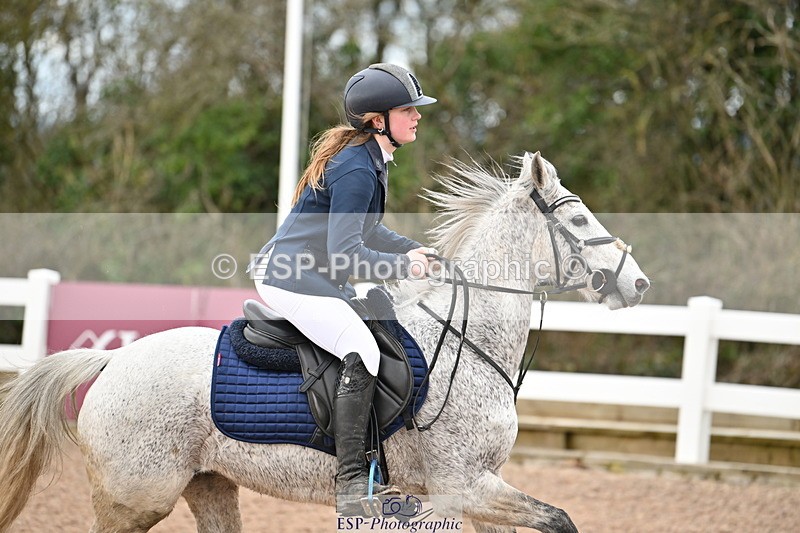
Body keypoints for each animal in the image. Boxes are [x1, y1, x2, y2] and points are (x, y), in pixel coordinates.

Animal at [0, 151, 649, 533]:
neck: (468, 340)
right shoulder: (463, 485)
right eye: (580, 221)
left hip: (207, 485)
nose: (636, 282)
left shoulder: (476, 490)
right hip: (135, 497)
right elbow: (560, 519)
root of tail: (112, 360)